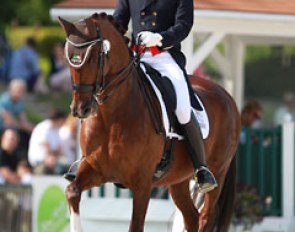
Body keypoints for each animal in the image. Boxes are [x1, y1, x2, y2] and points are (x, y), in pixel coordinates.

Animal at [59, 13, 242, 232]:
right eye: (69, 59)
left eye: (95, 58)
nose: (81, 109)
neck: (112, 119)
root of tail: (226, 95)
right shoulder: (96, 169)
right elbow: (72, 191)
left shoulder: (142, 184)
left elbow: (136, 226)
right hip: (178, 180)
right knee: (191, 217)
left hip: (217, 172)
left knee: (206, 217)